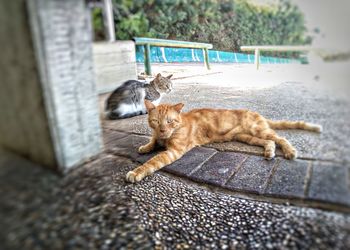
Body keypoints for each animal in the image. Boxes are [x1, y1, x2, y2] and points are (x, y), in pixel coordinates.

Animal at [126, 100, 322, 183]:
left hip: (257, 130)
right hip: (247, 137)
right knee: (269, 142)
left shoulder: (174, 151)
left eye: (170, 121)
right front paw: (145, 146)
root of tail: (258, 114)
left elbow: (153, 161)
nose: (162, 130)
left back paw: (289, 151)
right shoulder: (157, 137)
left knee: (280, 138)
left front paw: (136, 172)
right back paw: (269, 152)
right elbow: (152, 142)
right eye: (156, 121)